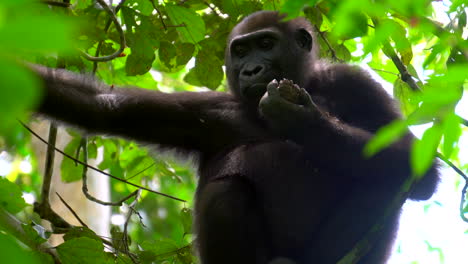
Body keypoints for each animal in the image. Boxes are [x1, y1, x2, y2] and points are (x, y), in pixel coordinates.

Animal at [30, 10, 438, 264]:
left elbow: (420, 169)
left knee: (384, 182)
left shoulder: (357, 83)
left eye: (266, 44)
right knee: (226, 190)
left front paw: (302, 119)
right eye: (240, 50)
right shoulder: (209, 111)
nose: (251, 70)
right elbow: (100, 105)